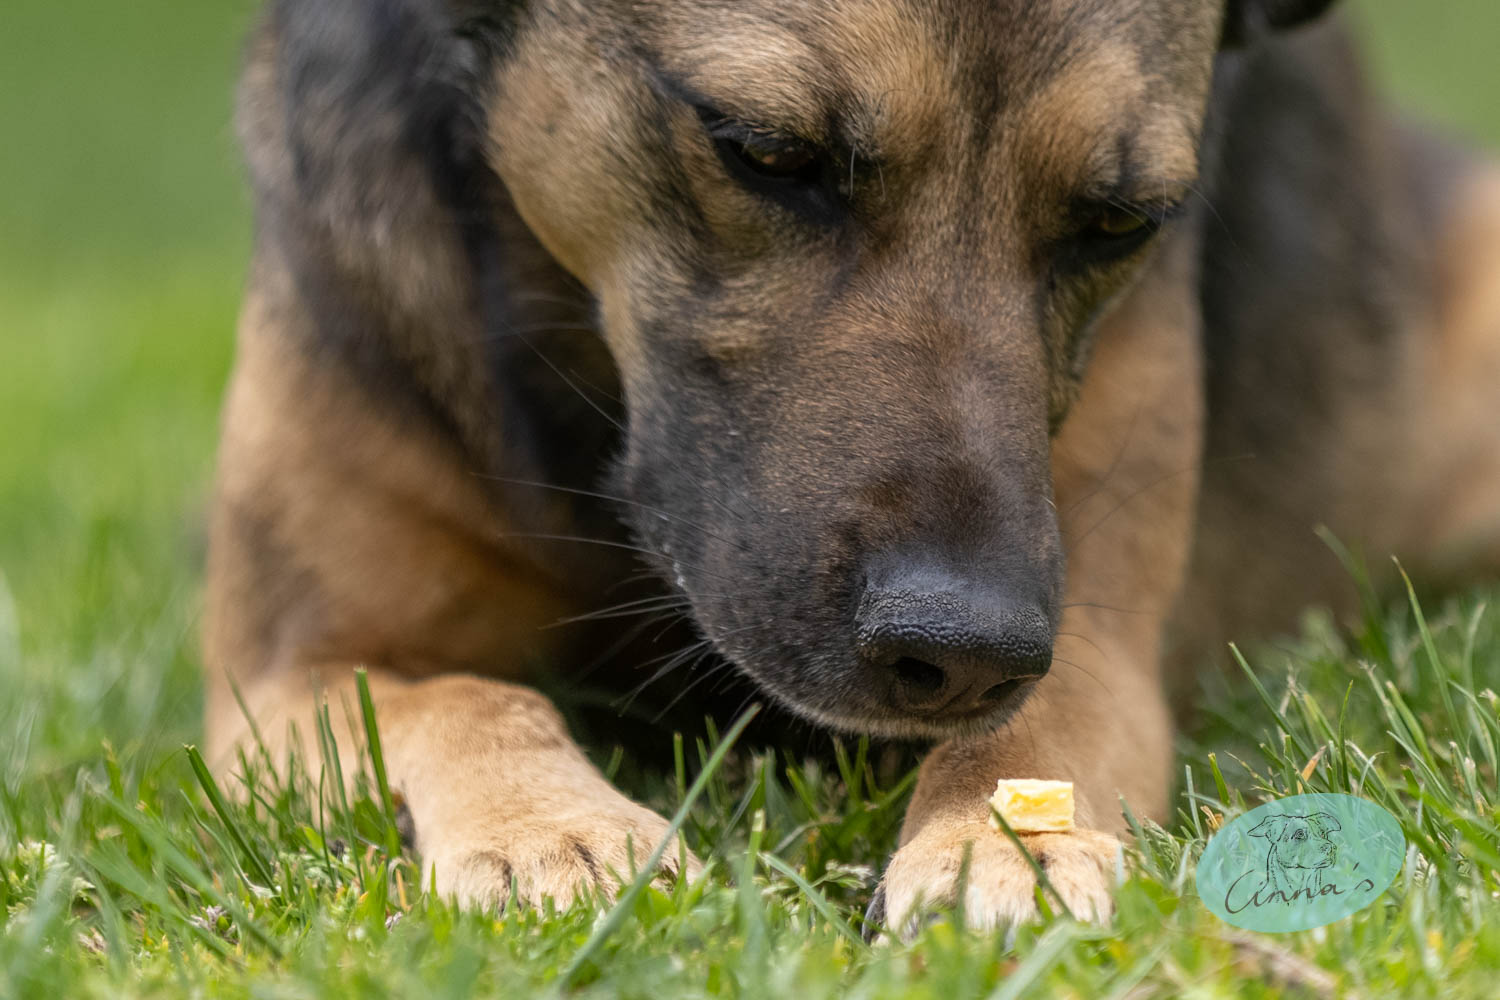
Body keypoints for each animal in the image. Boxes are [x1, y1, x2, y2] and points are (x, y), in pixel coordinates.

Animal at [208, 0, 1500, 935]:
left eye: (1123, 221)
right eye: (766, 153)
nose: (964, 647)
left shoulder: (1096, 640)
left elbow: (1043, 722)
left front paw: (1001, 845)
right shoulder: (281, 672)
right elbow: (467, 695)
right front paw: (548, 831)